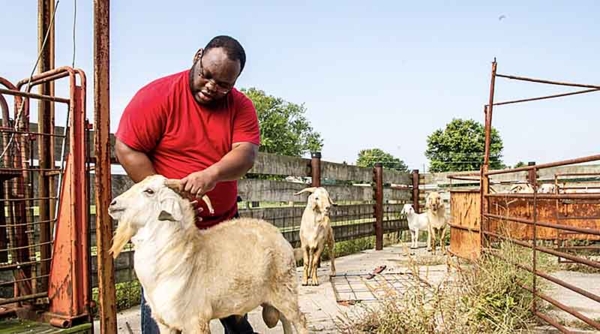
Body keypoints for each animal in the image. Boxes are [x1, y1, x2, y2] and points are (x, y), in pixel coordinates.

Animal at [106, 175, 310, 334]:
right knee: (285, 320)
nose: (112, 204)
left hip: (285, 290)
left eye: (149, 191)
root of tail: (280, 236)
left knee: (300, 320)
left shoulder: (195, 320)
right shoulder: (165, 322)